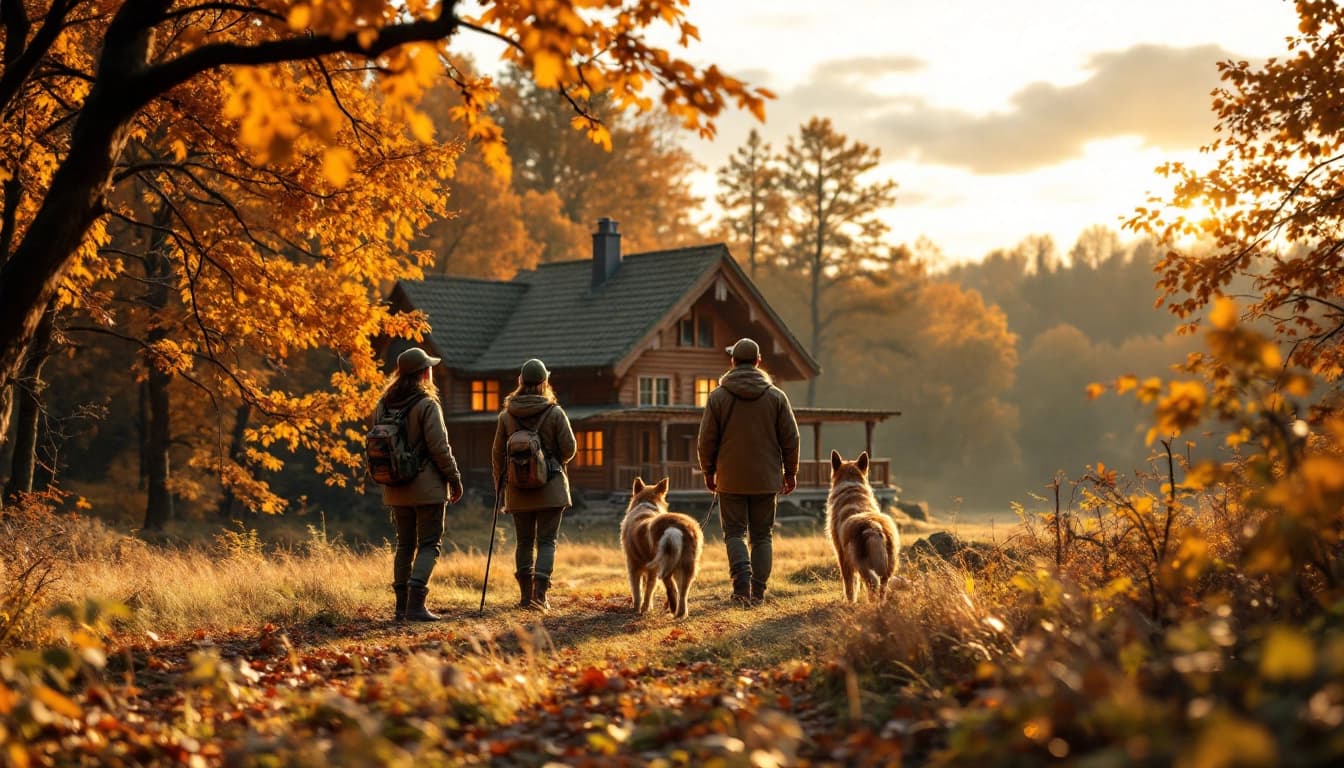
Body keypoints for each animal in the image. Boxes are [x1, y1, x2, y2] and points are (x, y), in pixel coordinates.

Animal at [618, 476, 704, 618]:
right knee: (682, 592)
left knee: (670, 588)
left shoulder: (634, 567)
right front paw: (648, 608)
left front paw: (639, 609)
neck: (646, 504)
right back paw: (680, 614)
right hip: (685, 566)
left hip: (664, 565)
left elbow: (639, 592)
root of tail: (674, 528)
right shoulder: (650, 570)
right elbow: (649, 589)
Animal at [822, 446, 897, 605]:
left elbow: (850, 585)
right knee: (882, 586)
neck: (851, 487)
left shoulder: (842, 556)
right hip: (889, 565)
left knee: (872, 583)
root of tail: (874, 527)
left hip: (860, 564)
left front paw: (849, 602)